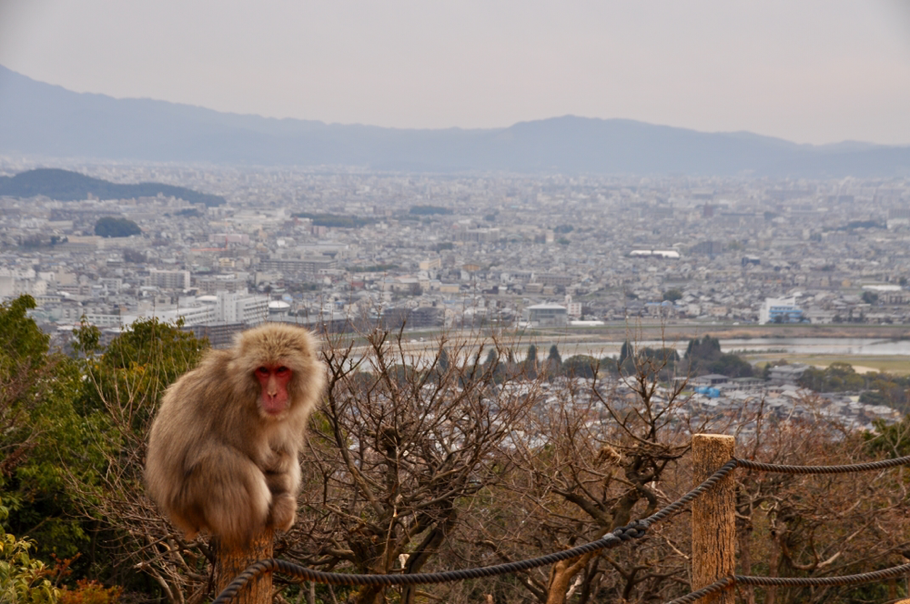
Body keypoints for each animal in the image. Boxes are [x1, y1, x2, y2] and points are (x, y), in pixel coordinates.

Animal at [144, 326, 326, 548]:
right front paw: (278, 481)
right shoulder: (238, 414)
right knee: (221, 461)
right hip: (190, 503)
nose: (272, 394)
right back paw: (254, 522)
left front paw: (282, 471)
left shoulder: (294, 414)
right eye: (263, 371)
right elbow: (261, 461)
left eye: (281, 370)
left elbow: (284, 456)